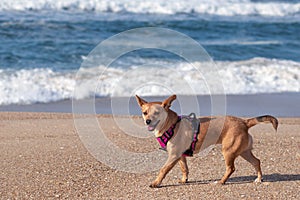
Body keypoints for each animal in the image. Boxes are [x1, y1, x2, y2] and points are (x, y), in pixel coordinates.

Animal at [135, 94, 278, 188]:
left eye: (157, 113)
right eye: (145, 112)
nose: (147, 121)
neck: (171, 125)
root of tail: (244, 122)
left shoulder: (173, 156)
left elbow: (163, 170)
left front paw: (156, 183)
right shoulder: (180, 156)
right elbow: (184, 168)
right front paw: (184, 180)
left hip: (228, 151)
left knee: (231, 168)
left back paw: (221, 181)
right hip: (243, 151)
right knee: (256, 161)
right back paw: (258, 179)